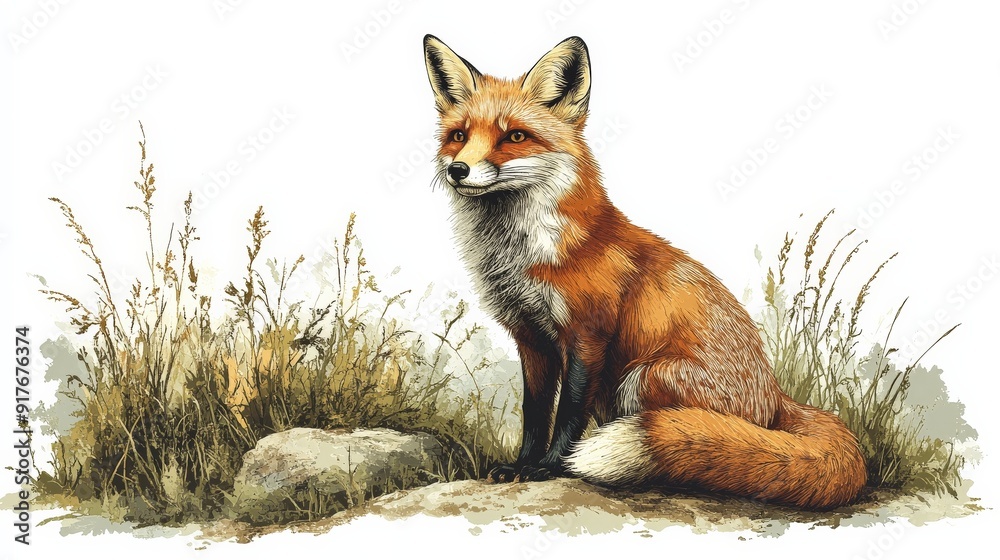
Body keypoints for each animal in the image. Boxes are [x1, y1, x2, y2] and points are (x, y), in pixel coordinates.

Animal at [422, 34, 867, 509]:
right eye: (459, 136)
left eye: (515, 136)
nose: (458, 170)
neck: (524, 256)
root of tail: (777, 395)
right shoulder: (531, 337)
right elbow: (536, 412)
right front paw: (521, 465)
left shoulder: (588, 332)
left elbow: (569, 412)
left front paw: (551, 467)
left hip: (643, 378)